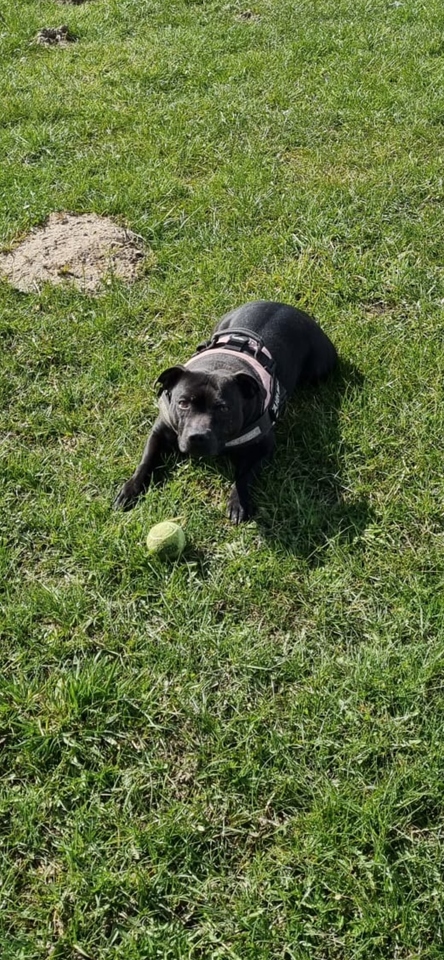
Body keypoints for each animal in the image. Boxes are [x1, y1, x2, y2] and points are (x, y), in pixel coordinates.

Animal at [113, 302, 336, 520]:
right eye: (183, 403)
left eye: (223, 408)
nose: (197, 436)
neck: (216, 366)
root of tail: (289, 307)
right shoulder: (159, 431)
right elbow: (147, 459)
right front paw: (130, 489)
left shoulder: (263, 446)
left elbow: (244, 475)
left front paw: (238, 502)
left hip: (319, 368)